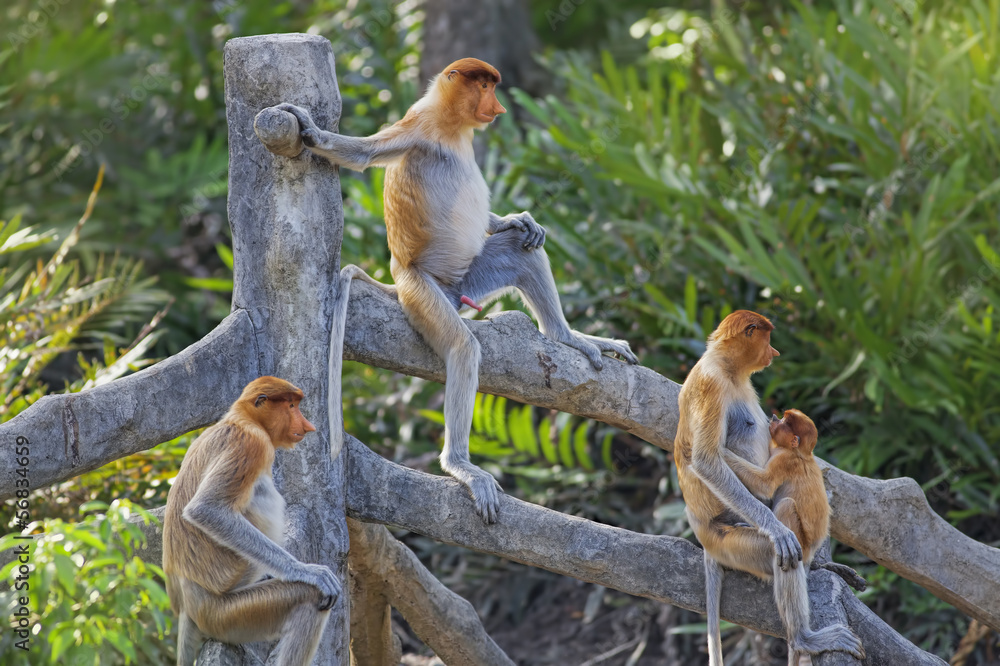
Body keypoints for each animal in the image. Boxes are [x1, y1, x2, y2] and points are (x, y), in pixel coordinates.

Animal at [163, 376, 340, 666]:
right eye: (291, 406)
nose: (308, 426)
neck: (242, 418)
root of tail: (188, 606)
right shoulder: (250, 443)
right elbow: (206, 509)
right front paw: (308, 571)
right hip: (226, 615)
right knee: (308, 598)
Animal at [277, 58, 637, 523]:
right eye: (483, 85)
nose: (498, 107)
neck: (451, 127)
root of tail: (405, 281)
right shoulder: (419, 123)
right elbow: (362, 154)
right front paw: (309, 129)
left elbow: (515, 233)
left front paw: (518, 220)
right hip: (422, 294)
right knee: (463, 348)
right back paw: (460, 465)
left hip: (469, 280)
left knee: (522, 253)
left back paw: (566, 335)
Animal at [724, 409, 867, 594]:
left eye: (785, 421)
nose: (774, 418)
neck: (801, 453)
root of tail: (808, 553)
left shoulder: (784, 460)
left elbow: (764, 484)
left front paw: (723, 453)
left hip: (800, 543)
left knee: (786, 504)